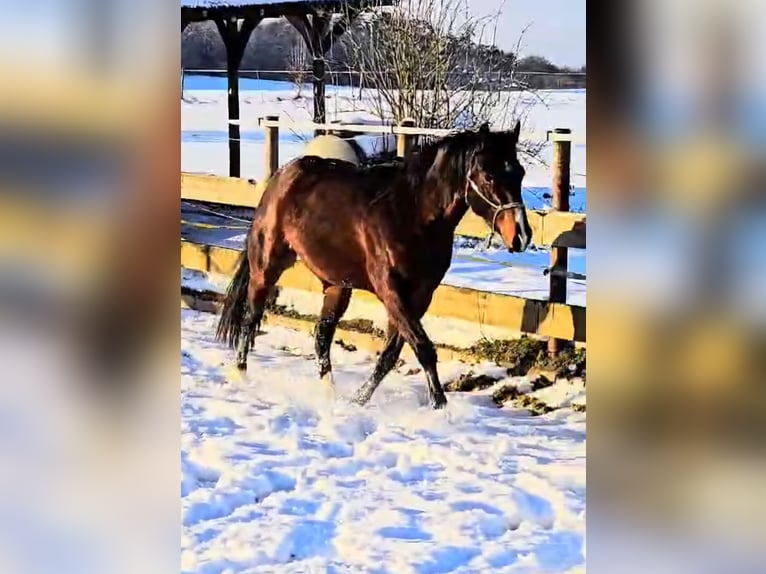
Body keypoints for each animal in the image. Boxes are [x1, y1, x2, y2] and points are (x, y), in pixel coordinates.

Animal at [213, 122, 532, 410]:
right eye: (488, 175)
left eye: (519, 172)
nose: (521, 235)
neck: (412, 214)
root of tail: (282, 175)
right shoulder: (391, 291)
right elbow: (423, 348)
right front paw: (441, 408)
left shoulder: (420, 296)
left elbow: (391, 354)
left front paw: (357, 401)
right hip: (266, 268)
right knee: (250, 319)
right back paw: (241, 376)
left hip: (337, 286)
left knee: (321, 337)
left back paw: (330, 396)